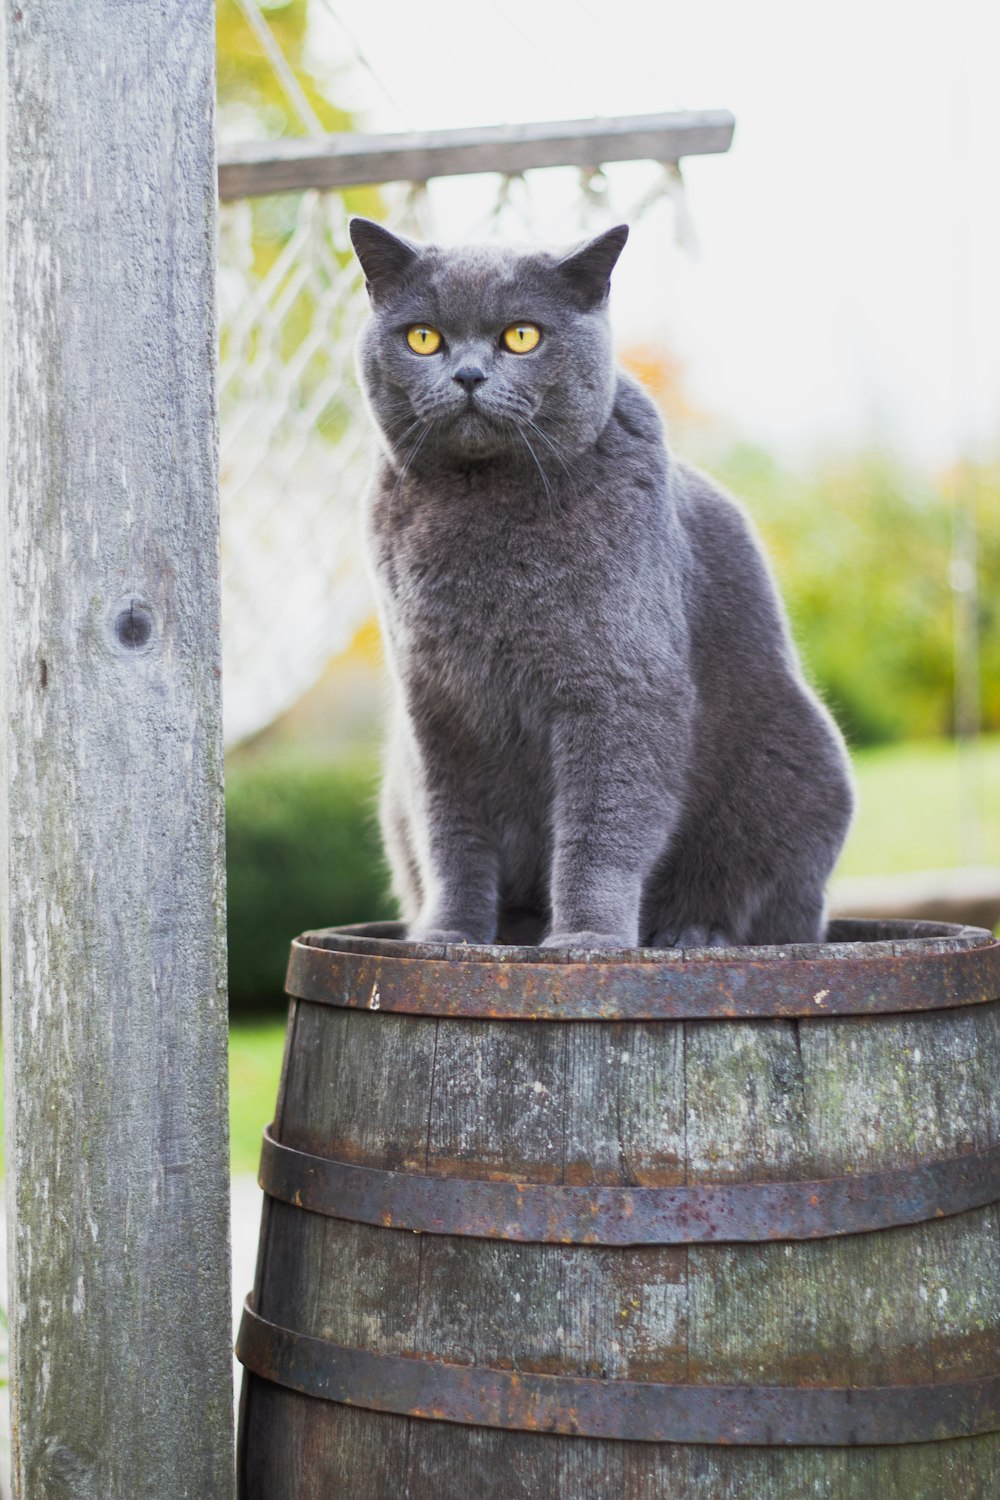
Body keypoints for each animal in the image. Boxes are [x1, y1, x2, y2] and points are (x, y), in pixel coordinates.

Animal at [350, 216, 851, 942]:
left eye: (522, 335)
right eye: (423, 337)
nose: (468, 373)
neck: (481, 507)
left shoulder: (619, 687)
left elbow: (600, 826)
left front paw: (586, 940)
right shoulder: (437, 707)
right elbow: (451, 837)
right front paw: (448, 939)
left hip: (798, 764)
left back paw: (692, 934)